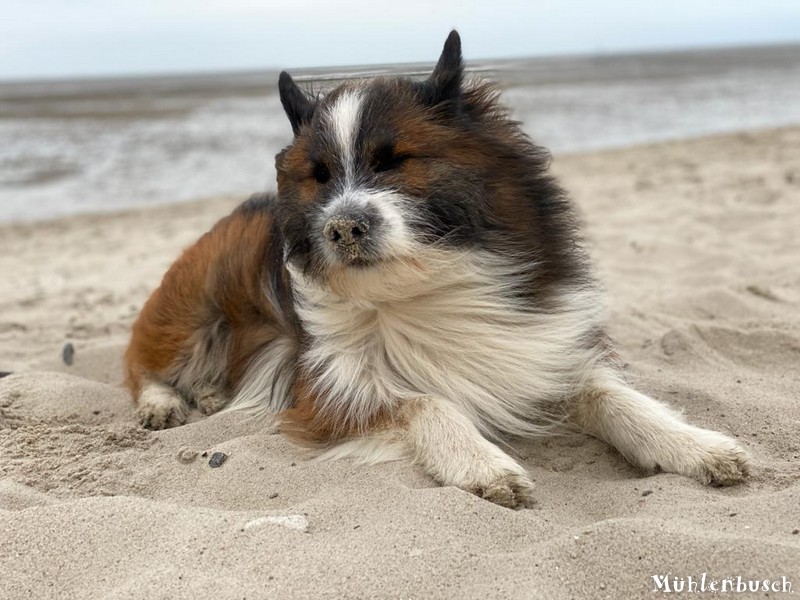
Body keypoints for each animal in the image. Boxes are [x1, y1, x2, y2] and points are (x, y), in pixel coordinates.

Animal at [125, 31, 752, 506]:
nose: (342, 228)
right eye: (320, 175)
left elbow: (613, 397)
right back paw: (165, 403)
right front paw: (479, 461)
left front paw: (694, 445)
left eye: (394, 161)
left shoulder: (539, 351)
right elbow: (426, 401)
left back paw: (209, 396)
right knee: (140, 362)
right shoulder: (325, 391)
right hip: (192, 309)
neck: (426, 287)